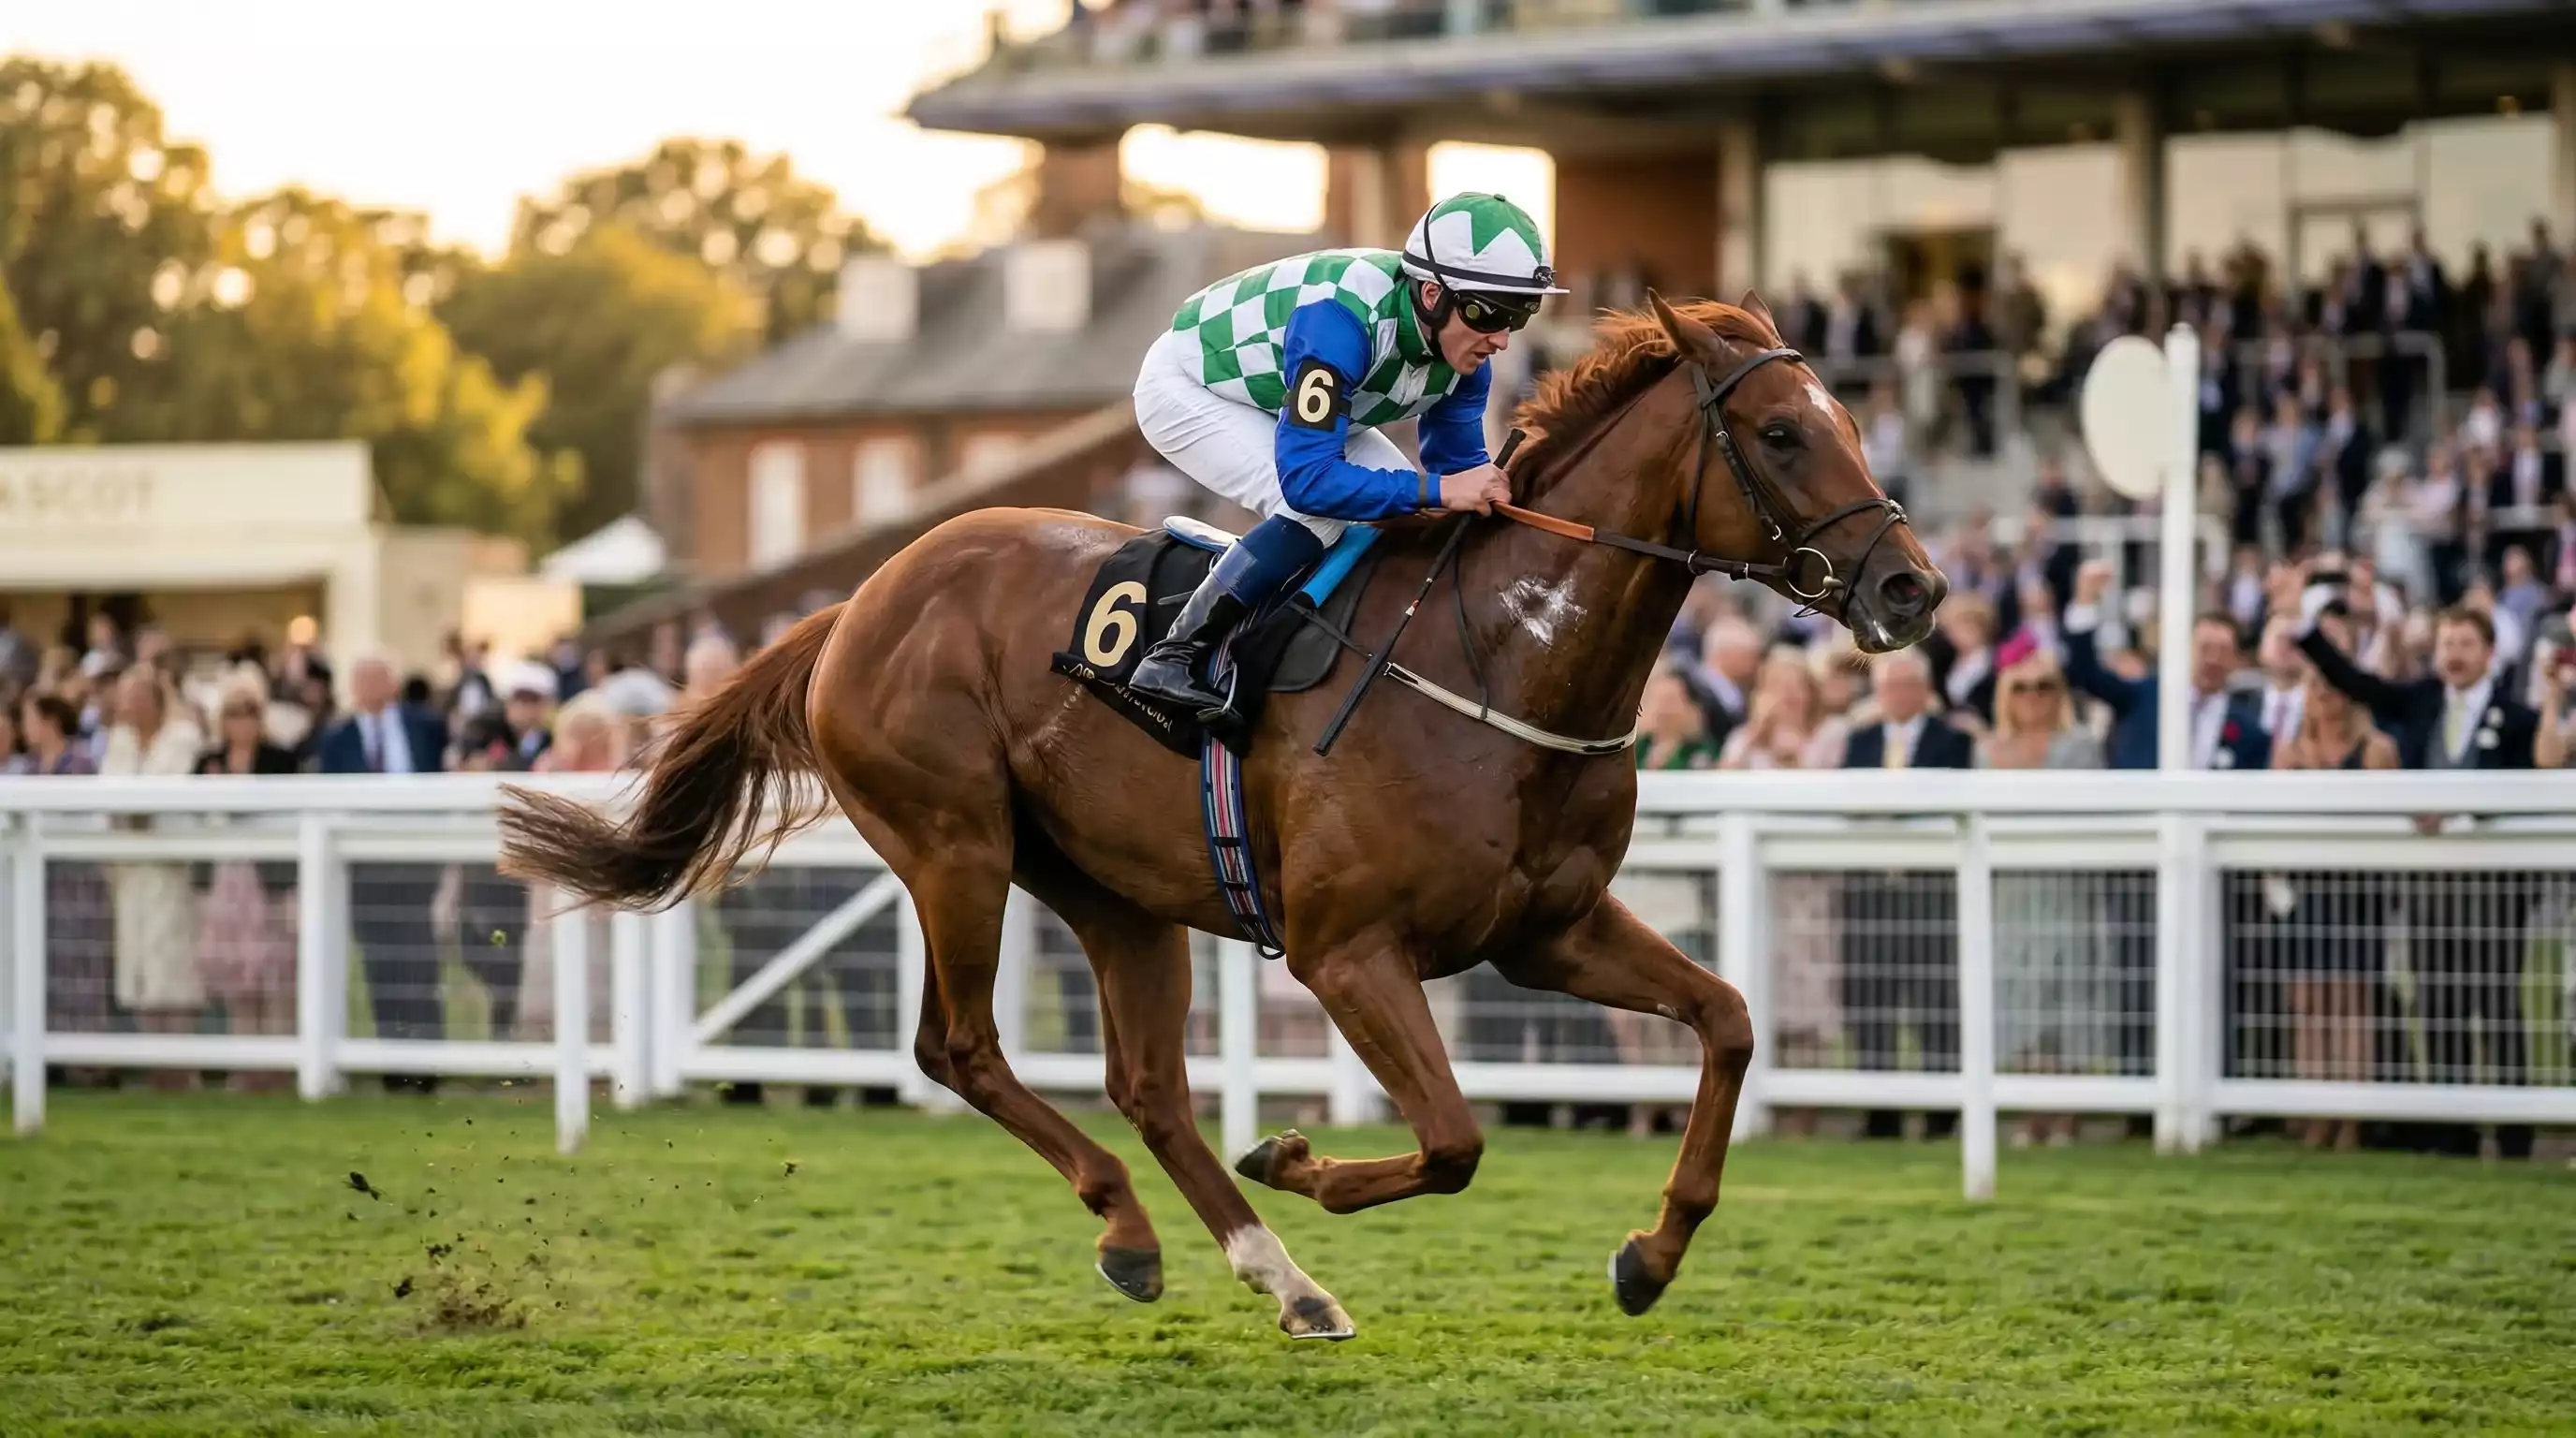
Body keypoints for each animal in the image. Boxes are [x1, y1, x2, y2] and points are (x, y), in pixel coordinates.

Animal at [498, 292, 1946, 1342]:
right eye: (1781, 434)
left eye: (1853, 421)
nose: (1912, 589)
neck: (1499, 661)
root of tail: (859, 600)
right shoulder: (1345, 950)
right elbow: (1456, 1140)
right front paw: (1295, 1155)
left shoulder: (1549, 930)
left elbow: (1729, 1022)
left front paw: (1649, 1254)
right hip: (955, 846)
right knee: (959, 1048)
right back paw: (1138, 1231)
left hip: (1114, 890)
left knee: (1146, 1085)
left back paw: (1271, 1275)